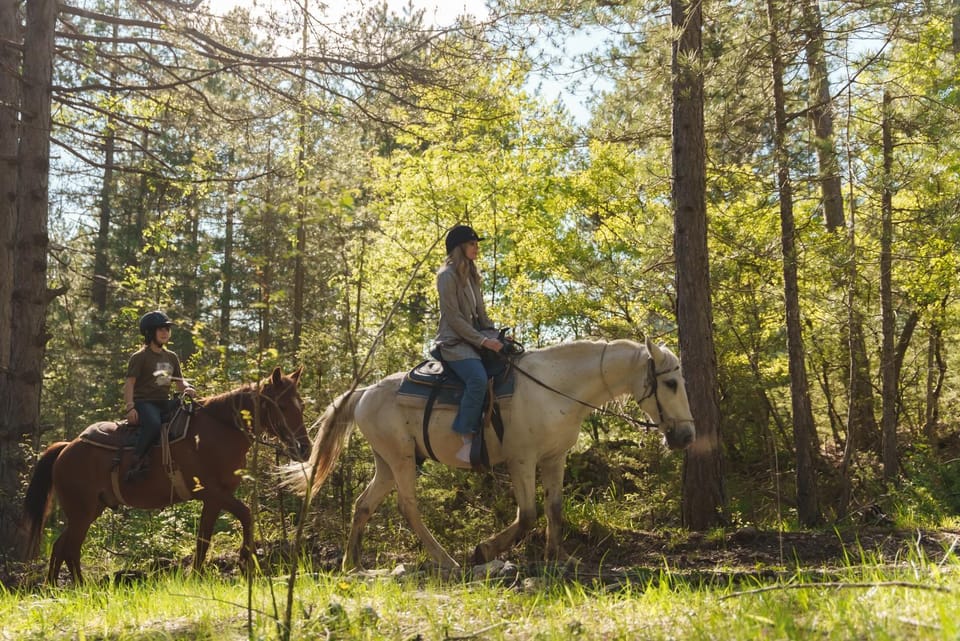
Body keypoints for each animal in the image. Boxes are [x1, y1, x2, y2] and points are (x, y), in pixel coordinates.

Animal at [21, 366, 310, 585]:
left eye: (302, 405)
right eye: (282, 405)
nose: (304, 448)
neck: (220, 430)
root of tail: (66, 448)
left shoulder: (214, 499)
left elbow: (204, 538)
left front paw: (198, 576)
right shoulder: (214, 493)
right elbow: (246, 516)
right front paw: (244, 563)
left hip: (92, 509)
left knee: (61, 546)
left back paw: (53, 589)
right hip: (81, 511)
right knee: (70, 547)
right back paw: (80, 588)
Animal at [282, 339, 695, 571]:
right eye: (672, 383)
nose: (687, 436)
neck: (556, 389)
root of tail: (365, 391)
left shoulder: (555, 458)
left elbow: (554, 509)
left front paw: (560, 558)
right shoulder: (521, 460)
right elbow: (527, 515)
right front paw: (484, 550)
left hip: (387, 462)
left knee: (363, 505)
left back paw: (351, 563)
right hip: (400, 461)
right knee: (408, 507)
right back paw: (446, 560)